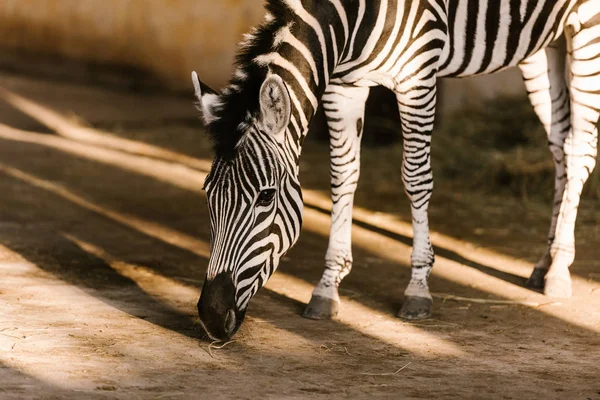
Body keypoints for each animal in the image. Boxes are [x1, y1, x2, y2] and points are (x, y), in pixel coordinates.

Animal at [192, 0, 600, 340]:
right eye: (207, 193)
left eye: (266, 196)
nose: (211, 316)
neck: (354, 17)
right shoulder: (343, 85)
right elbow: (343, 176)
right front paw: (327, 286)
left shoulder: (417, 76)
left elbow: (415, 178)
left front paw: (418, 288)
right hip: (544, 40)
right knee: (559, 143)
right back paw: (545, 262)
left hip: (586, 29)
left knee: (579, 148)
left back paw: (559, 268)